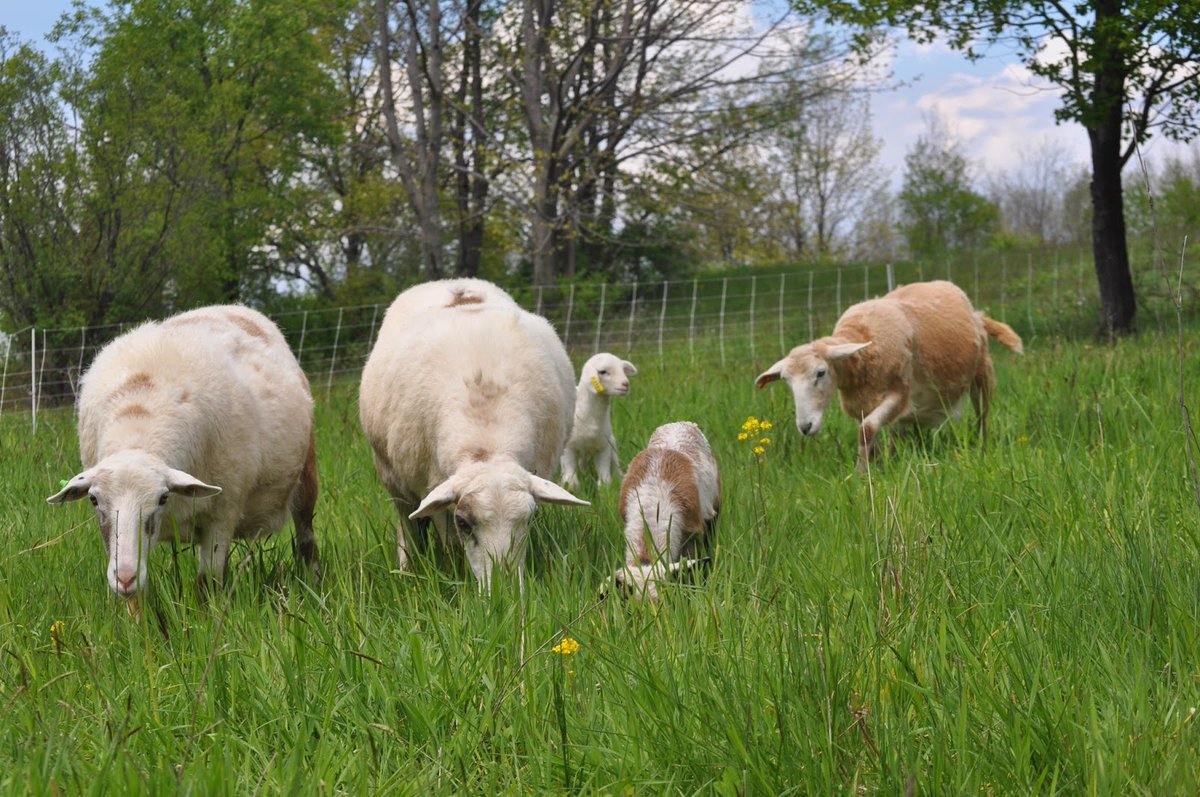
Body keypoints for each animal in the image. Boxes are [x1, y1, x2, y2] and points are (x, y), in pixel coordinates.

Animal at [46, 305, 318, 597]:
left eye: (163, 498)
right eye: (93, 500)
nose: (125, 578)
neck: (139, 426)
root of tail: (231, 307)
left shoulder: (223, 513)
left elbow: (208, 582)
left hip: (305, 476)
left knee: (306, 536)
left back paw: (313, 581)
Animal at [359, 278, 590, 590]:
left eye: (529, 520)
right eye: (465, 524)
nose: (503, 593)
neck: (487, 442)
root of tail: (452, 282)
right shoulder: (435, 490)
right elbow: (450, 545)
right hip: (394, 479)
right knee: (407, 526)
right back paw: (408, 568)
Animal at [560, 353, 638, 489]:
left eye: (622, 370)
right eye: (603, 372)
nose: (626, 384)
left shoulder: (604, 446)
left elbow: (604, 475)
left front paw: (606, 488)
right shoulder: (568, 447)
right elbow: (570, 471)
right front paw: (569, 485)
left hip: (611, 442)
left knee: (614, 463)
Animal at [755, 279, 1023, 469]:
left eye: (820, 373)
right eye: (787, 382)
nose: (805, 427)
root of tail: (976, 313)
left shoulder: (899, 396)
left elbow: (866, 430)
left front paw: (862, 473)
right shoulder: (864, 404)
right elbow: (870, 436)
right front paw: (875, 464)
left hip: (982, 375)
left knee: (982, 416)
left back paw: (983, 446)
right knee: (902, 431)